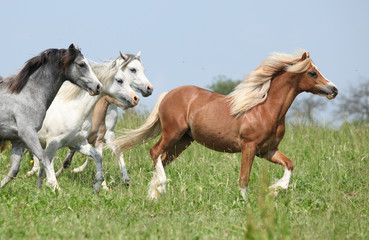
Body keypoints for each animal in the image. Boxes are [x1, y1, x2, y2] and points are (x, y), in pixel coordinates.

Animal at [0, 43, 101, 191]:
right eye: (81, 64)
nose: (98, 86)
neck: (28, 95)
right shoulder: (28, 133)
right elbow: (44, 158)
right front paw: (55, 188)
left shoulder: (18, 140)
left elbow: (13, 170)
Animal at [30, 53, 142, 193]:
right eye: (119, 80)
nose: (135, 99)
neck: (73, 110)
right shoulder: (52, 144)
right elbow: (46, 165)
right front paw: (51, 188)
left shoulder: (79, 143)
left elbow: (97, 157)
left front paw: (97, 186)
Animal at [108, 50, 336, 201]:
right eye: (313, 73)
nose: (334, 89)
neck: (265, 109)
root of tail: (168, 94)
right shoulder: (249, 147)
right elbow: (244, 178)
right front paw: (247, 203)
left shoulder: (268, 150)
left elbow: (289, 164)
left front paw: (276, 189)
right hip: (172, 133)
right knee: (154, 152)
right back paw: (161, 187)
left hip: (183, 141)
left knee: (162, 159)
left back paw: (155, 194)